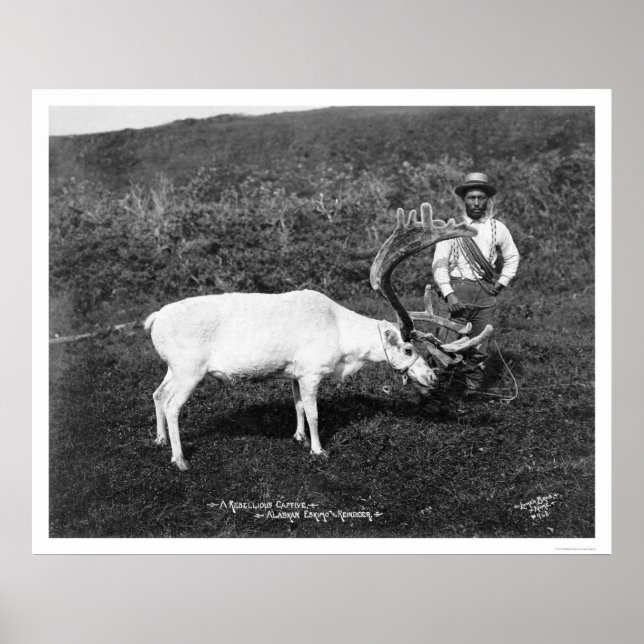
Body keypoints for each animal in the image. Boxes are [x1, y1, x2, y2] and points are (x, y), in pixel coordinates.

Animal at [144, 203, 493, 470]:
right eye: (408, 349)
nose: (432, 377)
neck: (343, 344)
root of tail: (154, 319)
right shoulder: (312, 371)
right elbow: (313, 413)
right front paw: (318, 449)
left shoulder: (294, 373)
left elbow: (297, 405)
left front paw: (298, 437)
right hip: (190, 369)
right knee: (173, 405)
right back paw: (180, 459)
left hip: (173, 367)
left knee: (158, 394)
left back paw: (159, 439)